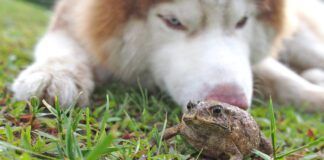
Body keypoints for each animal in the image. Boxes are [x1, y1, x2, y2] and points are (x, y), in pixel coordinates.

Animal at [12, 0, 324, 112]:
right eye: (173, 21)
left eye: (242, 21)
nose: (231, 103)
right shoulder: (72, 19)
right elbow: (61, 47)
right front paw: (54, 74)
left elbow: (286, 81)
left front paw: (315, 95)